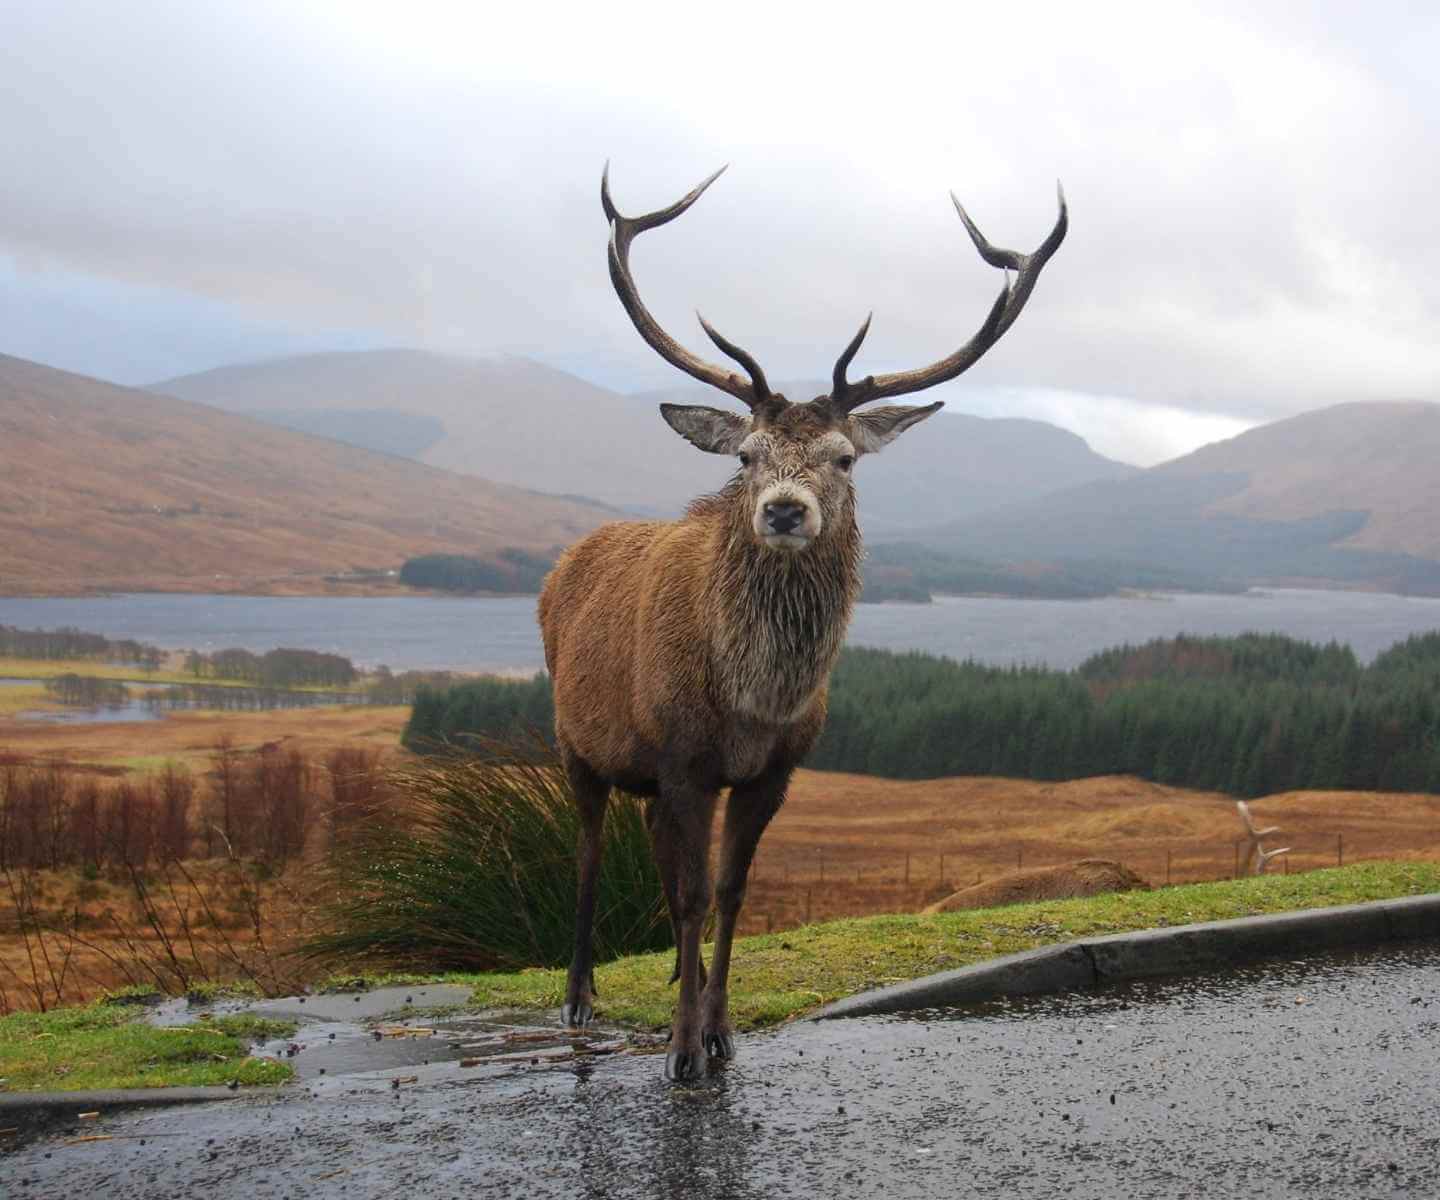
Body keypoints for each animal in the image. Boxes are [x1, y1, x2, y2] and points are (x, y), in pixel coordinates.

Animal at [538, 164, 1066, 1081]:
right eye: (748, 456)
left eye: (844, 457)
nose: (785, 510)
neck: (752, 702)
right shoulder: (682, 759)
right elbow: (692, 895)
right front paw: (681, 1051)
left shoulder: (774, 770)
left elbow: (730, 892)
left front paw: (718, 1031)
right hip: (576, 741)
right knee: (590, 849)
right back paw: (579, 996)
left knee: (654, 850)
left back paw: (673, 976)